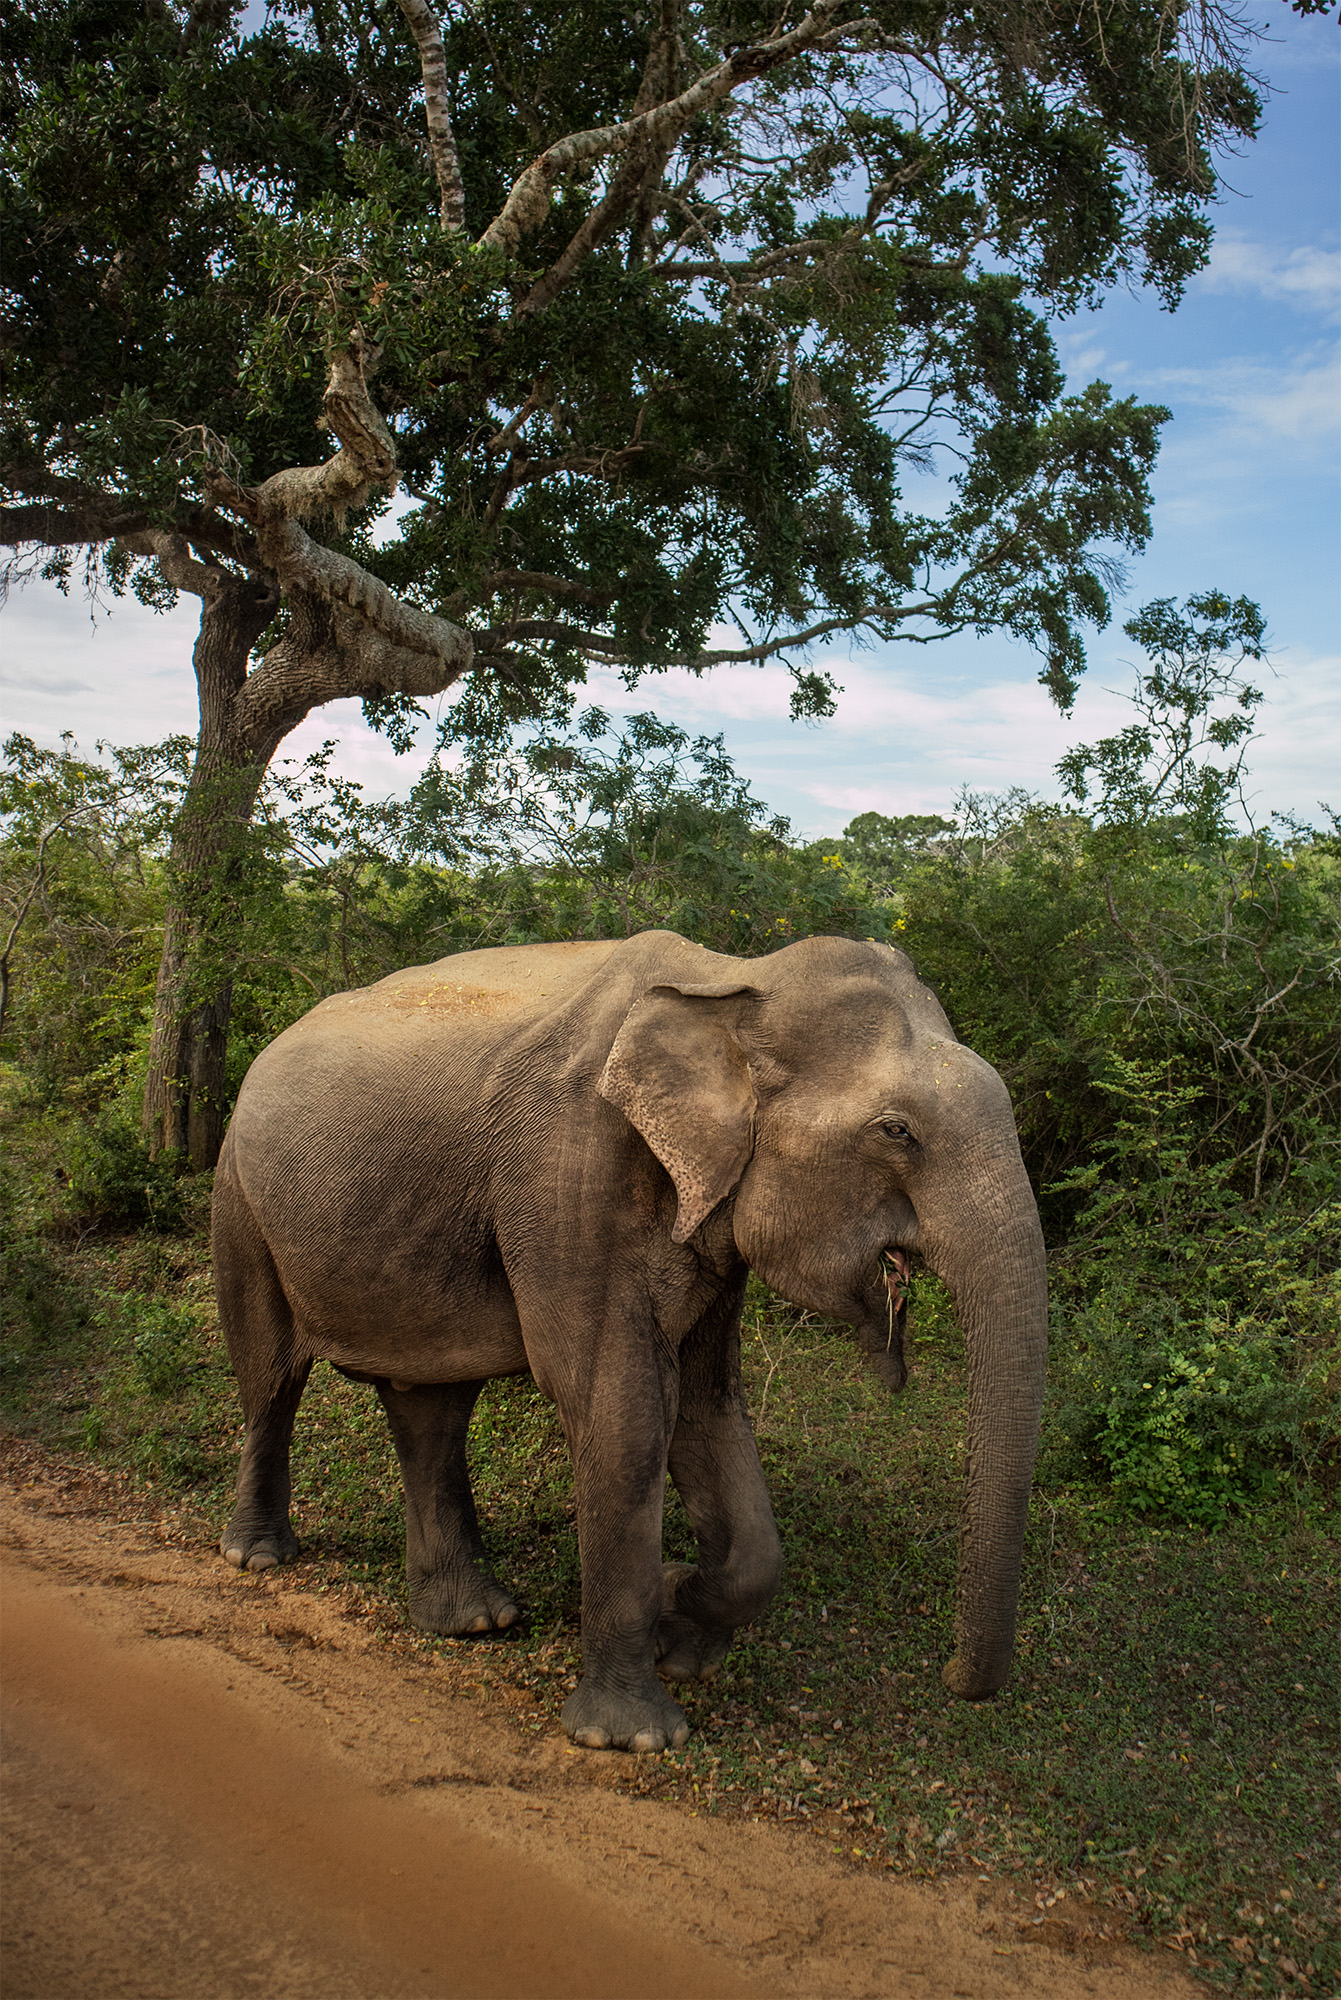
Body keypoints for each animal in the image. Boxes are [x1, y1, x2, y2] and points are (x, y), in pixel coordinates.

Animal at [215, 928, 1048, 1744]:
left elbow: (708, 1401)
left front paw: (680, 1633)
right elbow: (619, 1402)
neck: (733, 978)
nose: (952, 1679)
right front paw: (631, 1734)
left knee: (430, 1404)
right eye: (896, 1131)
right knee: (270, 1375)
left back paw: (473, 1622)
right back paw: (259, 1555)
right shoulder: (566, 1175)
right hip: (239, 1195)